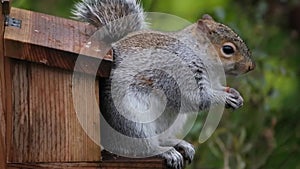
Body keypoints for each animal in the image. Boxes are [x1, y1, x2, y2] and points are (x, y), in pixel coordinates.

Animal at [71, 0, 254, 169]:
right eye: (228, 49)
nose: (250, 67)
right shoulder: (178, 71)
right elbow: (195, 97)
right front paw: (224, 98)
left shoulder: (213, 81)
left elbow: (215, 89)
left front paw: (236, 95)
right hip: (132, 119)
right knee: (142, 147)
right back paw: (165, 152)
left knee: (161, 138)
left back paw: (178, 143)